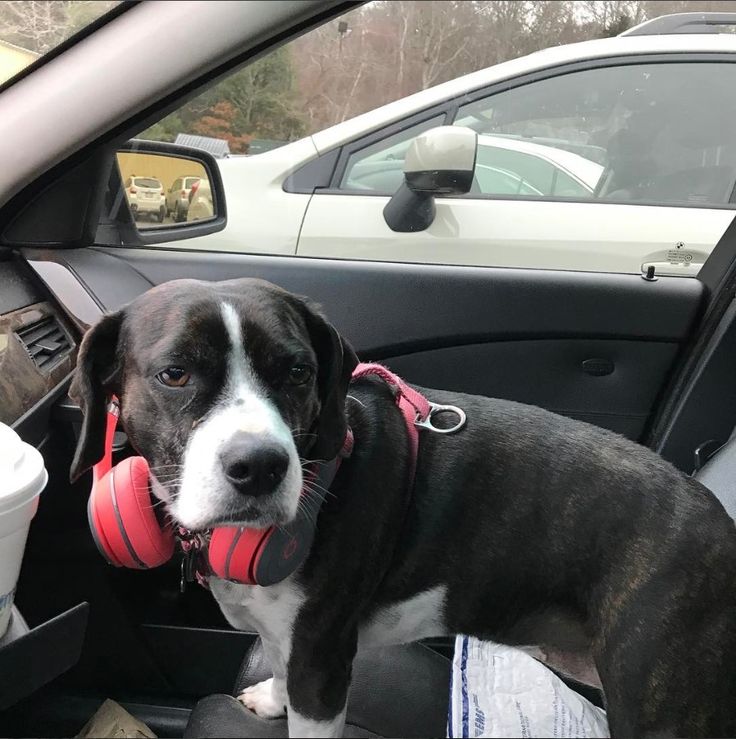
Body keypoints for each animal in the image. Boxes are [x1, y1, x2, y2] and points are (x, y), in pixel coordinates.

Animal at [72, 278, 736, 739]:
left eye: (298, 371)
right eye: (175, 373)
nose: (259, 466)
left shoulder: (323, 662)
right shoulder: (292, 641)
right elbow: (280, 668)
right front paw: (270, 699)